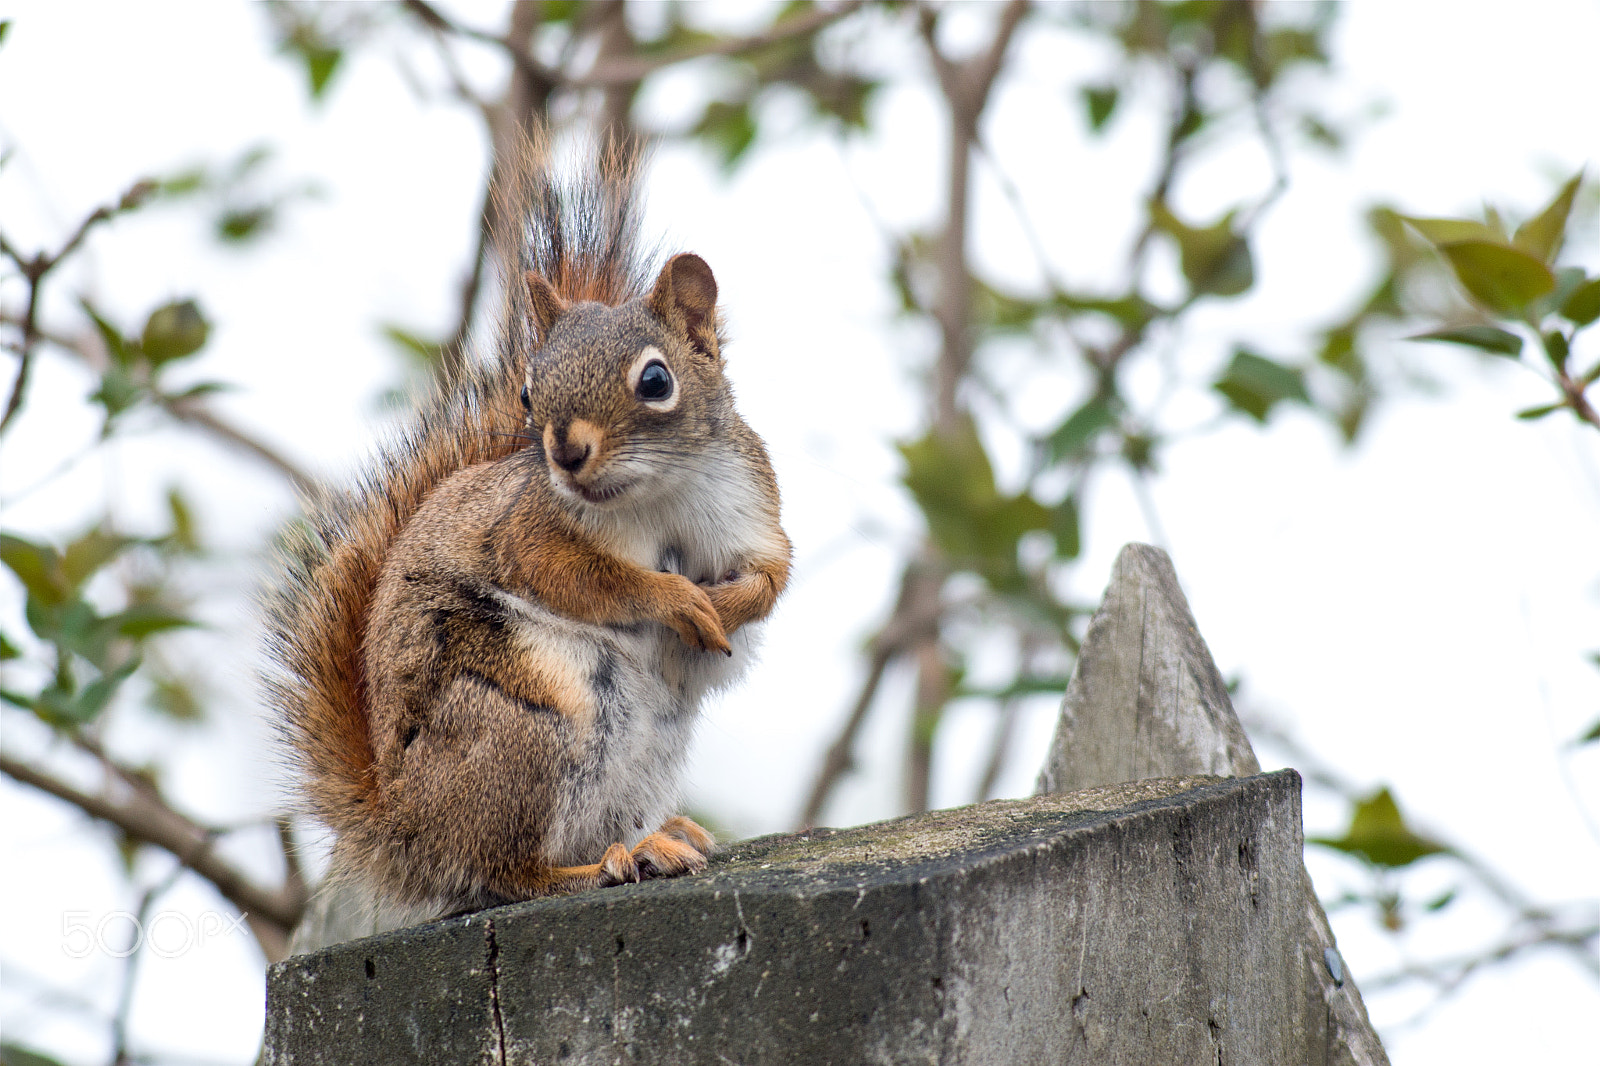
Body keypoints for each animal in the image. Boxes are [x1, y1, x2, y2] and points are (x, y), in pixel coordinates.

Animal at [266, 135, 791, 919]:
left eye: (656, 380)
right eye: (527, 393)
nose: (564, 453)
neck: (655, 495)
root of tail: (406, 836)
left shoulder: (750, 507)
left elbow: (770, 578)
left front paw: (722, 607)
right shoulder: (528, 531)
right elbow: (581, 577)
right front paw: (679, 601)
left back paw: (659, 839)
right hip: (523, 725)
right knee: (502, 873)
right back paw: (602, 867)